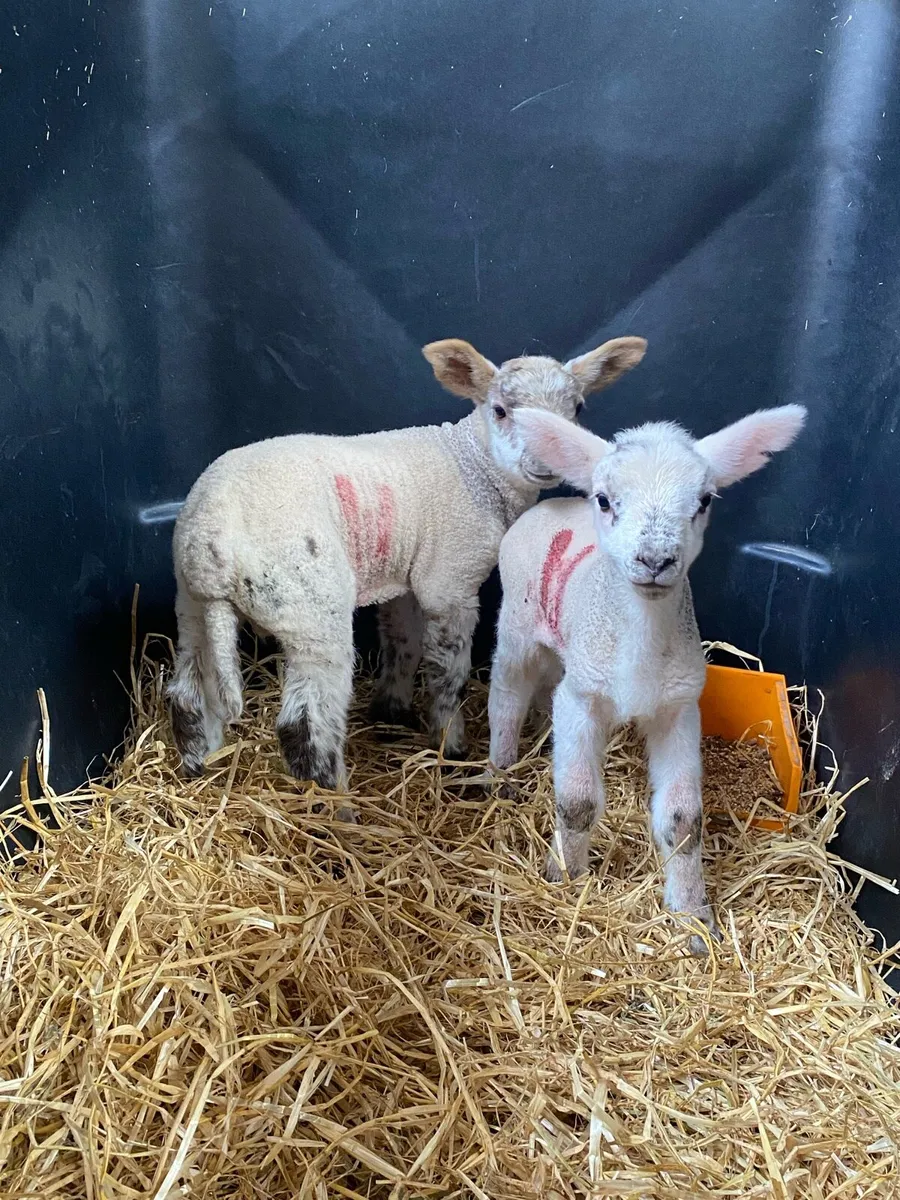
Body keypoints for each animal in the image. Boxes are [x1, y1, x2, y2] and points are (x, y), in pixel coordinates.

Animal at [167, 334, 648, 798]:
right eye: (500, 410)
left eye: (577, 409)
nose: (548, 461)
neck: (471, 462)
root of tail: (209, 546)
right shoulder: (450, 579)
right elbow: (446, 672)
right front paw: (451, 744)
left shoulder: (407, 577)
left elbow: (403, 644)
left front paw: (391, 712)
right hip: (308, 606)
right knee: (306, 728)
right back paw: (339, 809)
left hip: (191, 606)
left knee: (187, 696)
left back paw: (197, 771)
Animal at [487, 402, 806, 952]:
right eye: (604, 499)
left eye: (704, 500)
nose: (656, 560)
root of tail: (554, 504)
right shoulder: (583, 696)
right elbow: (576, 802)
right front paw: (565, 878)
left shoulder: (678, 708)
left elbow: (683, 822)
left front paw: (694, 917)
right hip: (518, 621)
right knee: (507, 691)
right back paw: (501, 767)